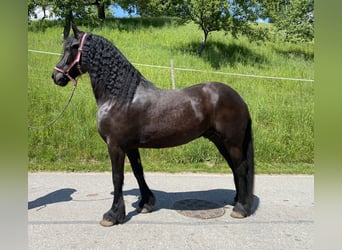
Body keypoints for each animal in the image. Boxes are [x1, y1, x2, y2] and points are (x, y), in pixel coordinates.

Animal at [50, 24, 254, 226]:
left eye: (73, 47)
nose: (56, 76)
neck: (119, 97)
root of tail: (240, 99)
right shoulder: (130, 146)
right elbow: (138, 172)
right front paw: (146, 203)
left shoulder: (115, 145)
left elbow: (117, 177)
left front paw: (113, 215)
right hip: (220, 141)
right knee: (234, 168)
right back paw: (238, 200)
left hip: (232, 142)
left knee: (241, 167)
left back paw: (241, 208)